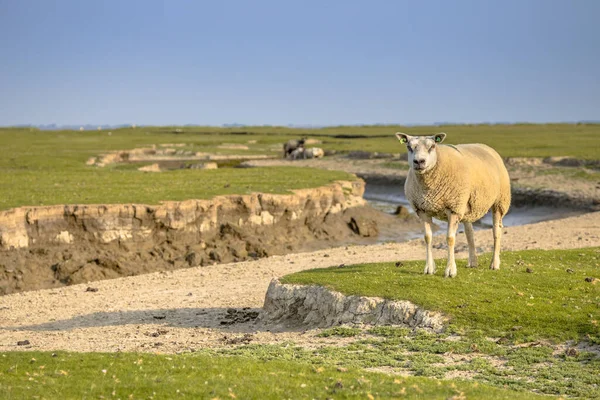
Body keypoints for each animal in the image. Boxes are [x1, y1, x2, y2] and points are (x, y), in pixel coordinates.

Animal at [394, 133, 510, 276]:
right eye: (409, 147)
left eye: (432, 146)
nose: (419, 161)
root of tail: (485, 146)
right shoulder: (422, 210)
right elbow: (427, 237)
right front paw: (429, 268)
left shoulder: (453, 208)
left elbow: (450, 238)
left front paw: (450, 270)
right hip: (465, 205)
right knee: (470, 233)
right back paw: (473, 261)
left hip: (499, 201)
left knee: (496, 232)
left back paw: (494, 263)